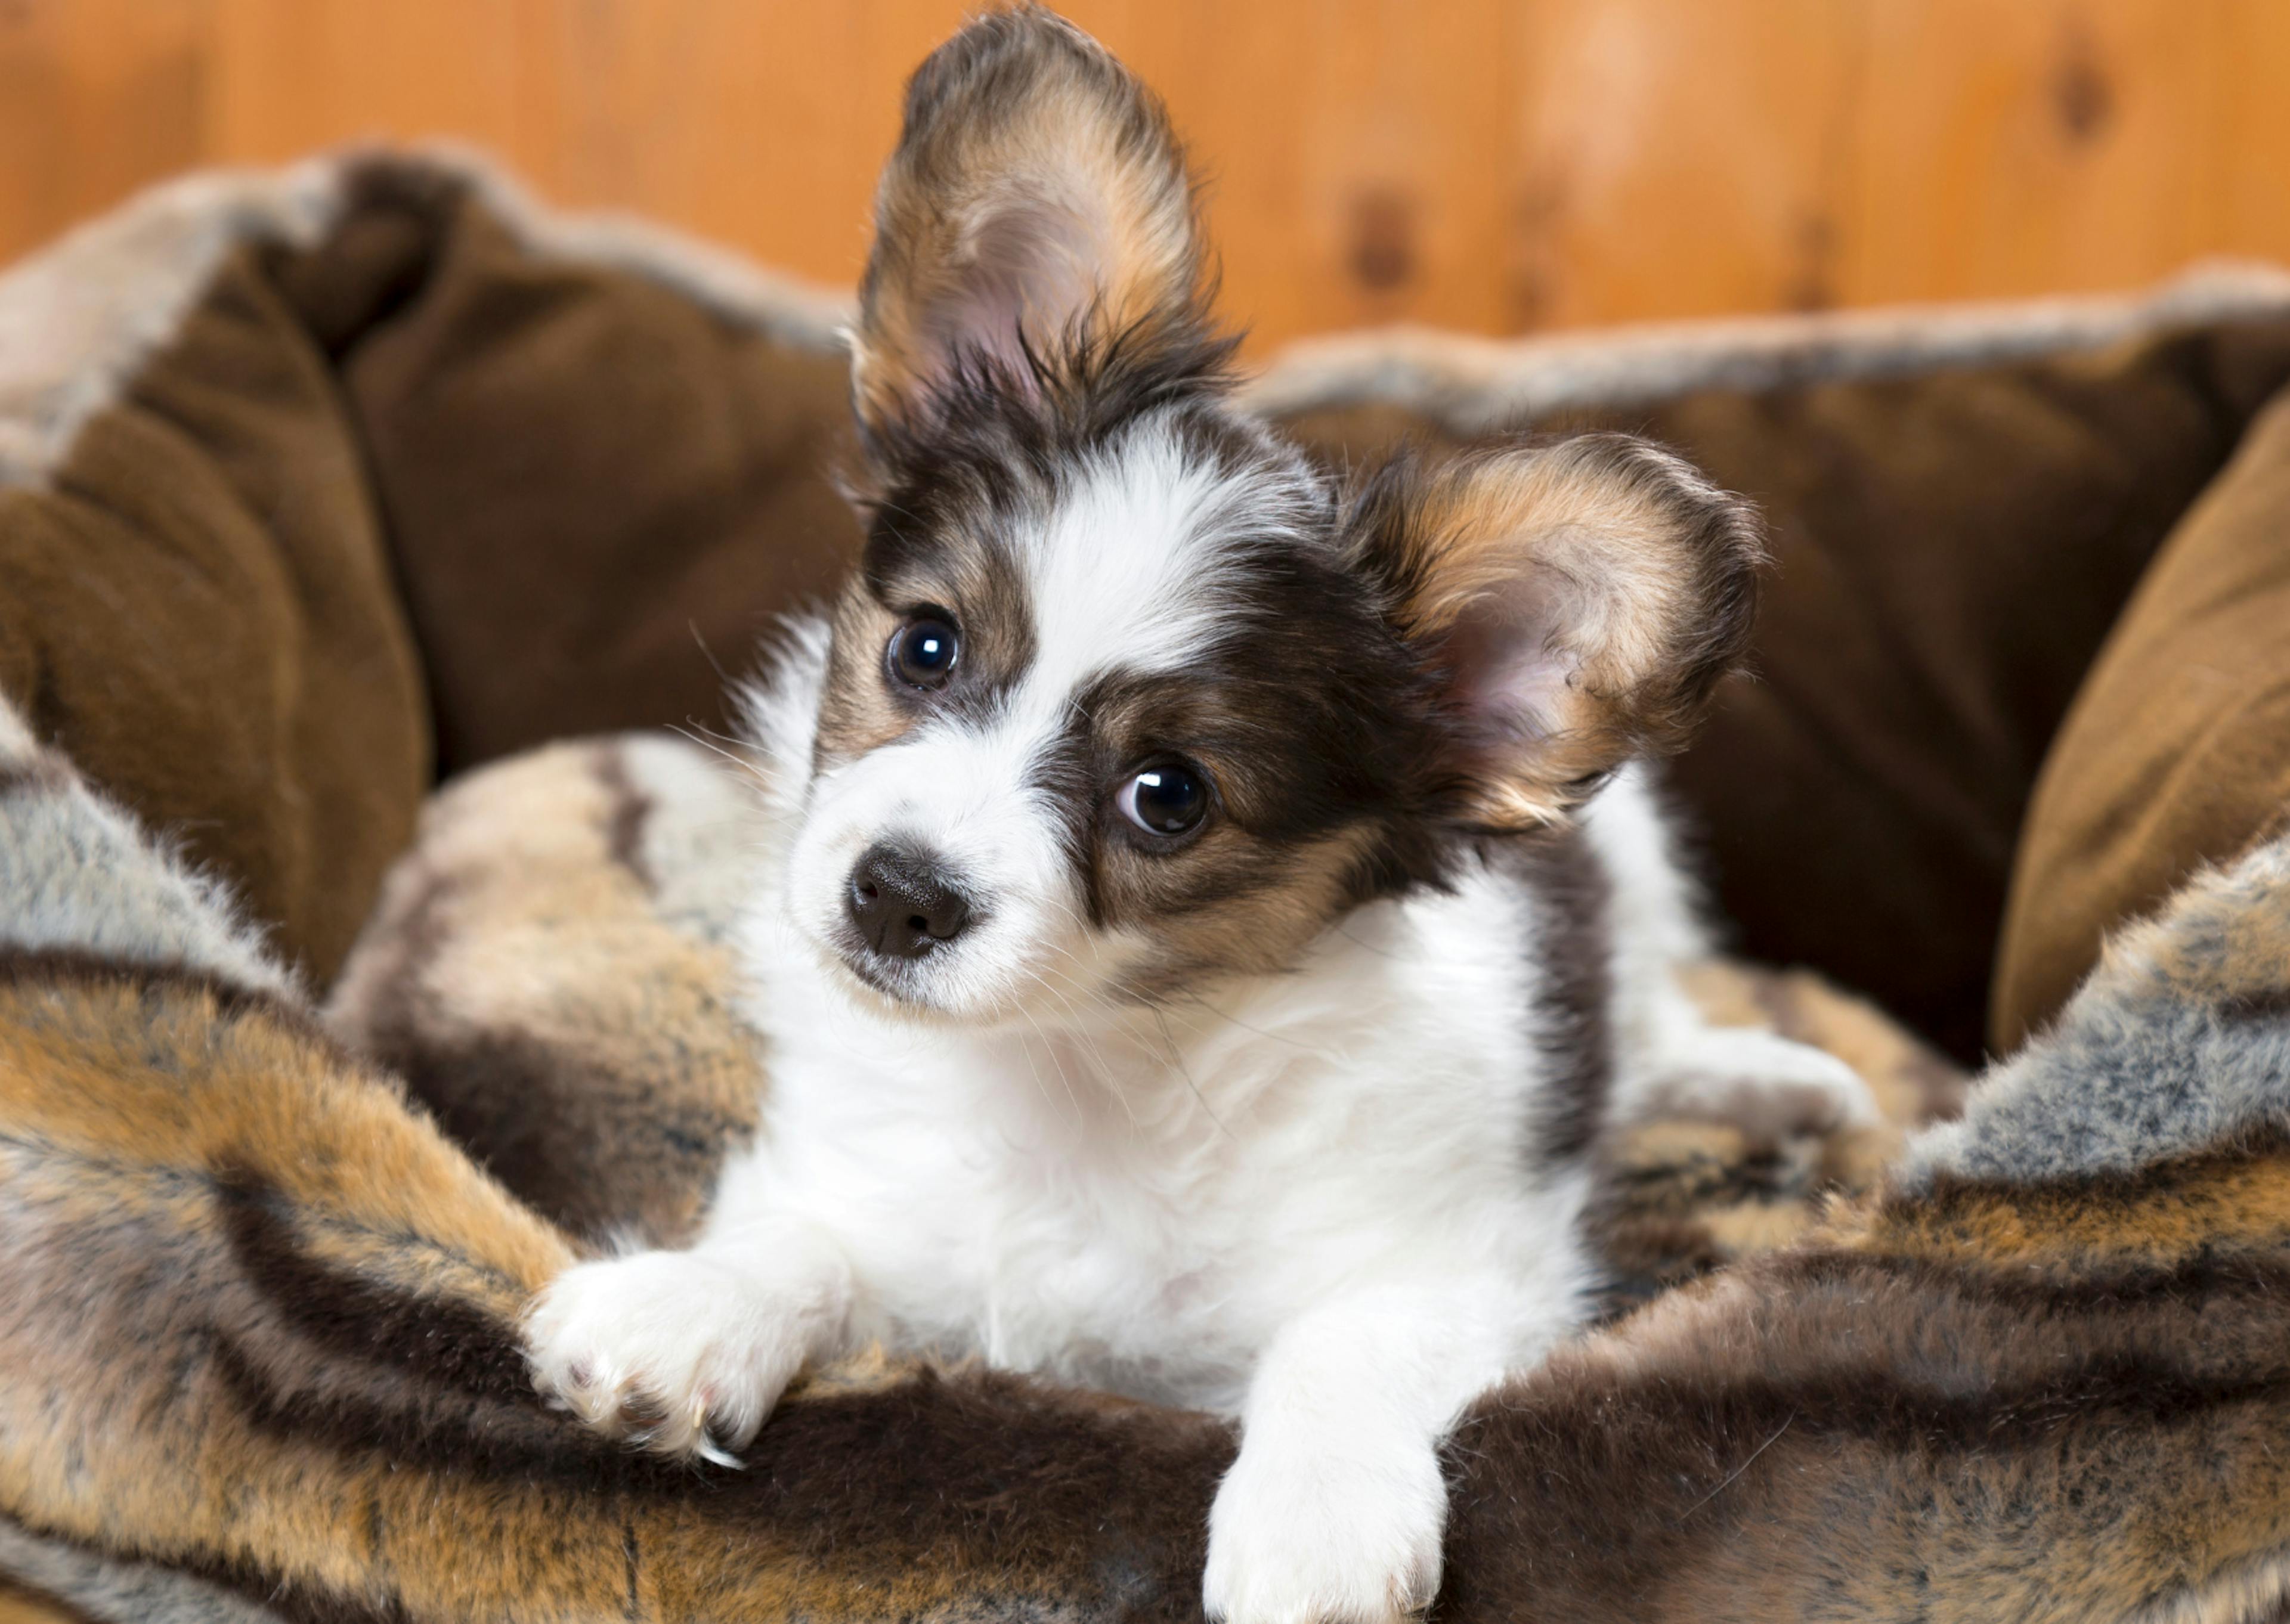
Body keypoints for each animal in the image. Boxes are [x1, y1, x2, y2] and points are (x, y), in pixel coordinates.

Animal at [527, 9, 1868, 1612]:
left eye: (1166, 799)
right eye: (926, 648)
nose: (895, 893)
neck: (1078, 1079)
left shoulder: (1465, 1266)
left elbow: (1338, 1346)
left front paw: (1313, 1524)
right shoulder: (872, 1181)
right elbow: (811, 1238)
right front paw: (694, 1303)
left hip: (1638, 866)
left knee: (1652, 1037)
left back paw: (1774, 1083)